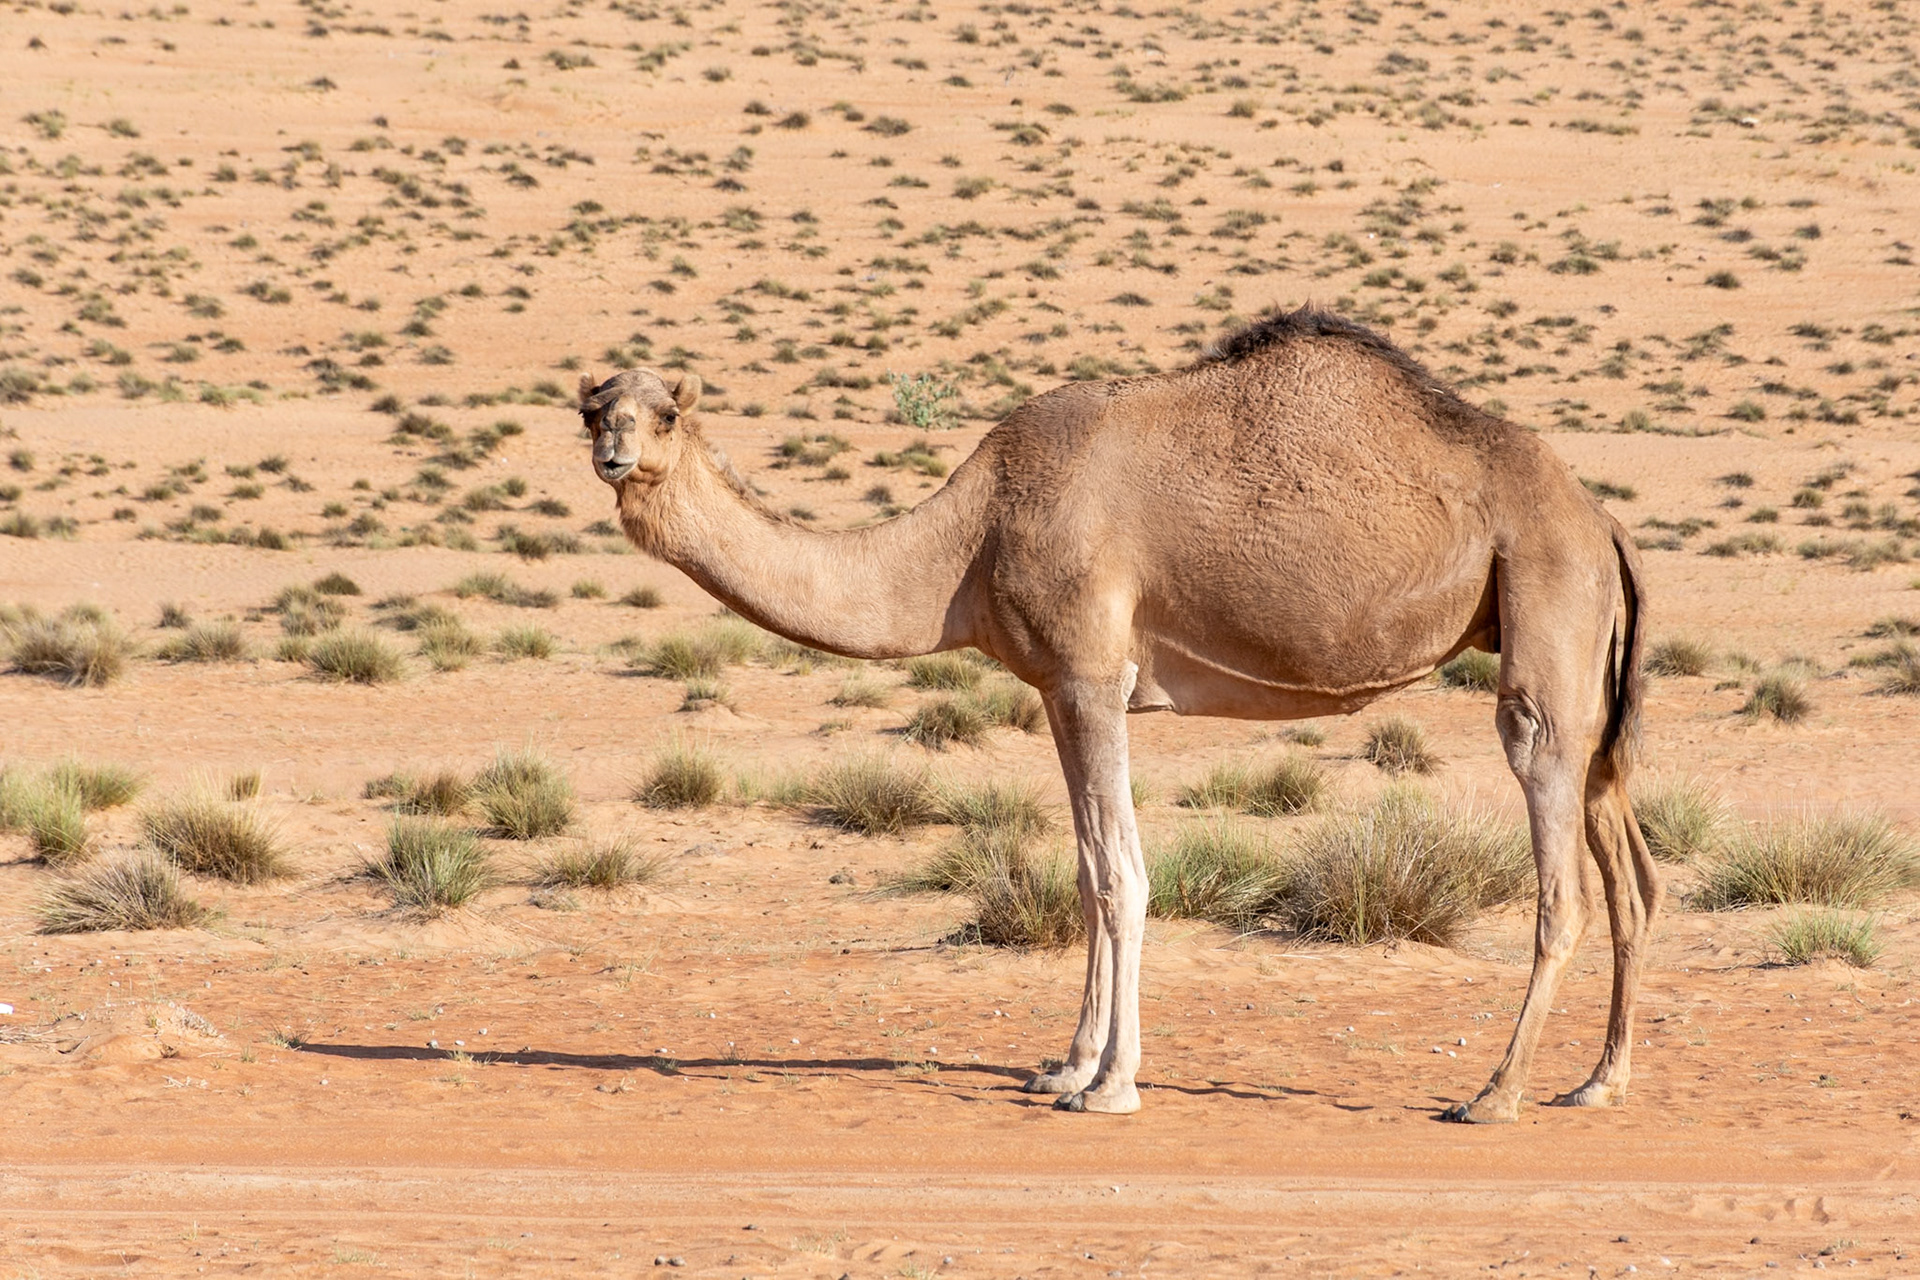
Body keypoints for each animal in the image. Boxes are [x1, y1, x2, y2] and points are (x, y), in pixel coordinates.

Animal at [580, 306, 1660, 1121]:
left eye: (664, 412)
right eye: (591, 407)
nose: (614, 453)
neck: (970, 536)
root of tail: (1602, 519)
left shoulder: (1093, 674)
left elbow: (1123, 875)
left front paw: (1109, 1085)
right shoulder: (1058, 684)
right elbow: (1088, 867)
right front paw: (1065, 1063)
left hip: (1544, 604)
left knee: (1555, 856)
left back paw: (1495, 1093)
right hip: (1583, 656)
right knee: (1628, 866)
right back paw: (1597, 1081)